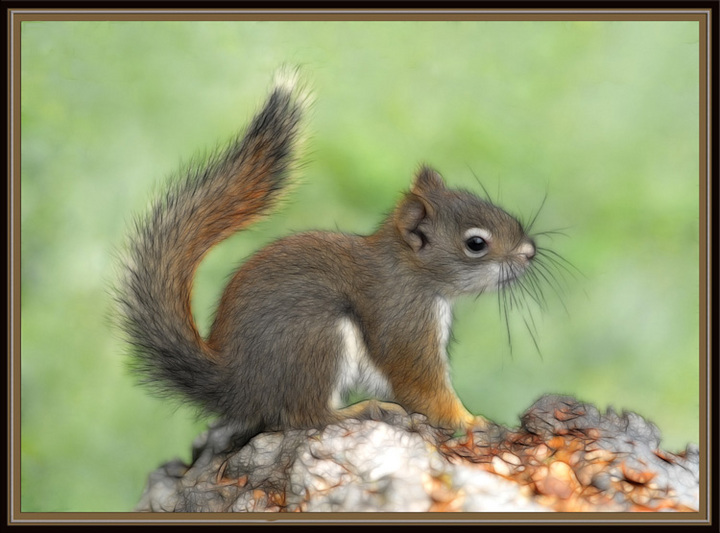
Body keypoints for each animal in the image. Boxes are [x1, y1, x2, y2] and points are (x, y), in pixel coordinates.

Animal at [117, 72, 538, 446]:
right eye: (476, 243)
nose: (530, 252)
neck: (411, 273)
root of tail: (239, 387)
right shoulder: (405, 321)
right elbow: (422, 384)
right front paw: (471, 421)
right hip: (315, 339)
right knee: (305, 416)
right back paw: (361, 409)